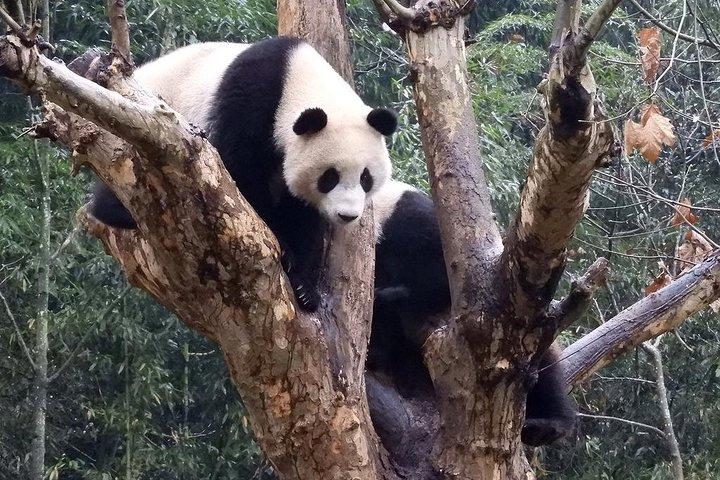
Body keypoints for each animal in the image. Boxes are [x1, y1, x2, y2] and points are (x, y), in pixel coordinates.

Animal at [90, 37, 398, 312]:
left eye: (366, 178)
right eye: (329, 177)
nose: (348, 215)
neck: (296, 79)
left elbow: (301, 212)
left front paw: (304, 288)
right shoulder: (251, 98)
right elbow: (237, 175)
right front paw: (282, 246)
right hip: (133, 135)